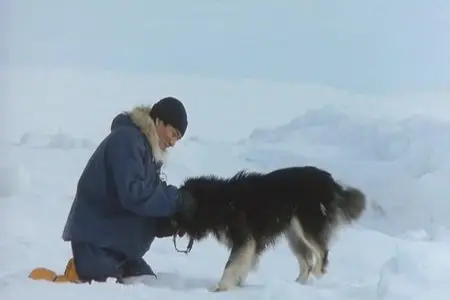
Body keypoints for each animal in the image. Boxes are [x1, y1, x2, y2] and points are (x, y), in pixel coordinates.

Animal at [172, 165, 366, 292]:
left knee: (321, 250)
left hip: (306, 224)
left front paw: (221, 286)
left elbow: (232, 263)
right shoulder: (250, 242)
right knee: (306, 259)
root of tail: (330, 181)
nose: (172, 223)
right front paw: (237, 284)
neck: (223, 202)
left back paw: (318, 272)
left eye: (180, 207)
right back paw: (297, 284)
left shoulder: (244, 238)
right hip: (293, 232)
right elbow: (243, 263)